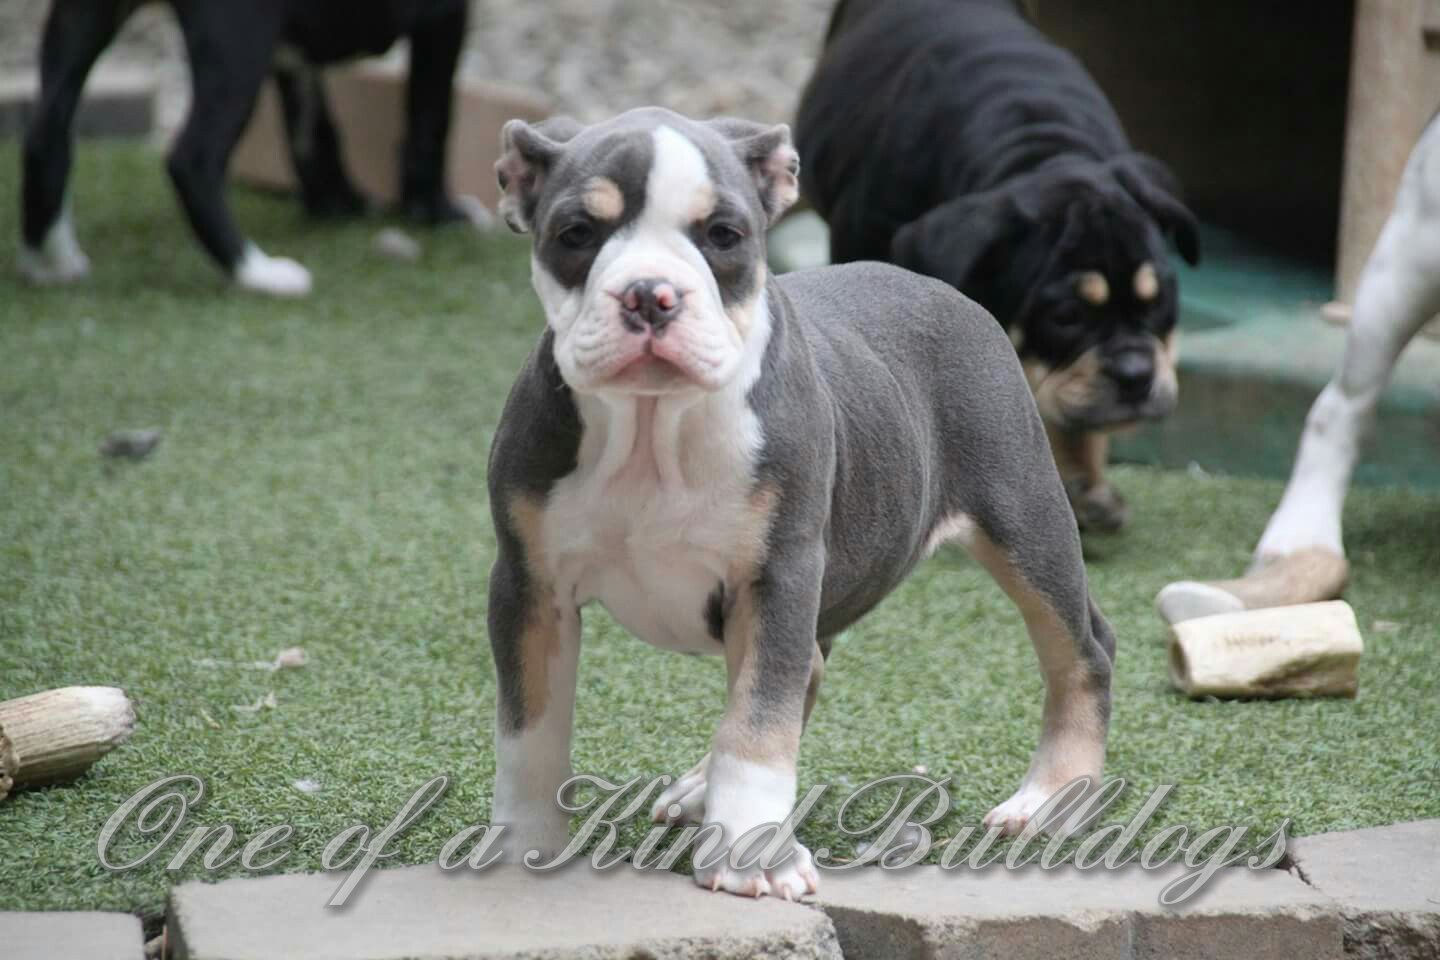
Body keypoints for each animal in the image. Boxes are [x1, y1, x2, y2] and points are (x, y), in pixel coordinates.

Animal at [19, 0, 468, 296]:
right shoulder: (444, 17)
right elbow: (432, 119)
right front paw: (439, 211)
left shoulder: (294, 57)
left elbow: (313, 129)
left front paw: (336, 204)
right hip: (240, 33)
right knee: (192, 158)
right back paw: (256, 272)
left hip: (84, 16)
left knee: (46, 132)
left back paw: (49, 261)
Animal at [485, 107, 1116, 898]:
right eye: (576, 233)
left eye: (724, 235)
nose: (649, 294)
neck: (654, 425)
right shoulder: (528, 585)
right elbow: (530, 729)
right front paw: (525, 842)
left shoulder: (778, 576)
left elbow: (759, 726)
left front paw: (748, 854)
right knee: (802, 670)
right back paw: (699, 788)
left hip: (1026, 523)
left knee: (1082, 649)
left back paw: (1052, 798)